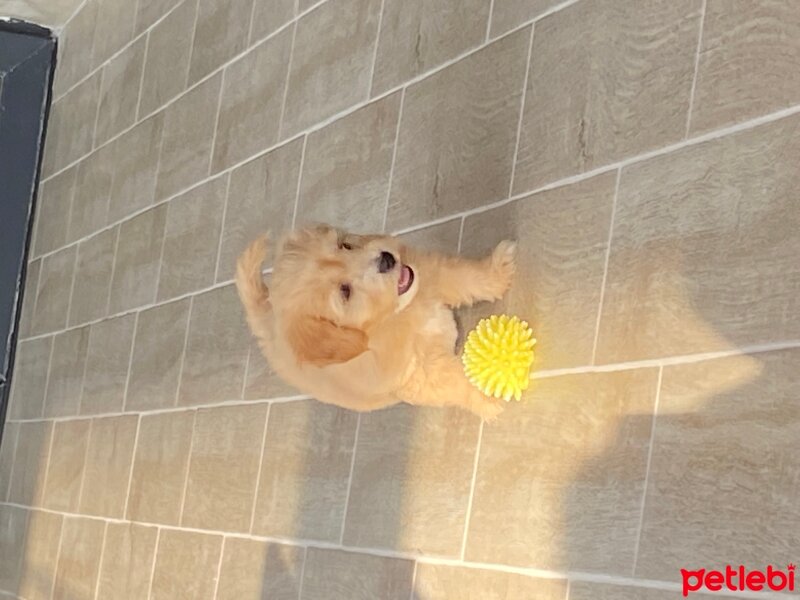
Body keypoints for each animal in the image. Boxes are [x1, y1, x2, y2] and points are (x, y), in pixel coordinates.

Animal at [234, 226, 516, 422]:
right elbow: (454, 382)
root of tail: (267, 318)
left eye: (345, 245)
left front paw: (497, 272)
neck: (397, 315)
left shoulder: (428, 272)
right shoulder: (421, 375)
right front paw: (484, 397)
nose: (387, 259)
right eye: (345, 292)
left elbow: (463, 276)